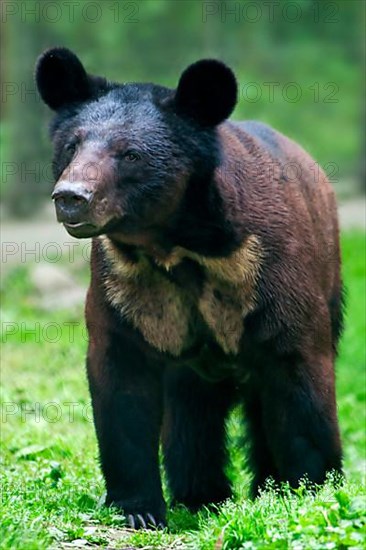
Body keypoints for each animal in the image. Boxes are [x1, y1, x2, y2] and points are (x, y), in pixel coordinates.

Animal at [35, 47, 344, 532]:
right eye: (72, 145)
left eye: (130, 154)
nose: (71, 197)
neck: (174, 246)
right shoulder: (122, 287)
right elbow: (122, 386)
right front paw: (138, 509)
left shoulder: (268, 271)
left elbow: (299, 378)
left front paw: (311, 492)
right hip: (191, 369)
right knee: (190, 418)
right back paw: (201, 496)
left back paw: (259, 488)